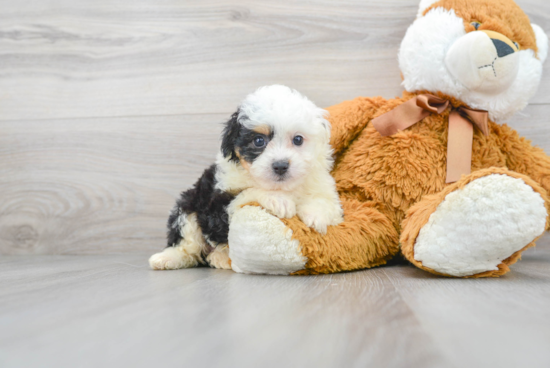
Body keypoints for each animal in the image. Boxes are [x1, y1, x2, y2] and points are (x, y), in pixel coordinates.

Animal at [149, 85, 342, 270]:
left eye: (298, 140)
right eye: (259, 141)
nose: (280, 165)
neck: (282, 186)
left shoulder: (322, 185)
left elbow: (325, 201)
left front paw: (316, 216)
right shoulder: (217, 202)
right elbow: (247, 192)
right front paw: (278, 199)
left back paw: (219, 258)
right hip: (189, 206)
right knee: (188, 244)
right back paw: (167, 258)